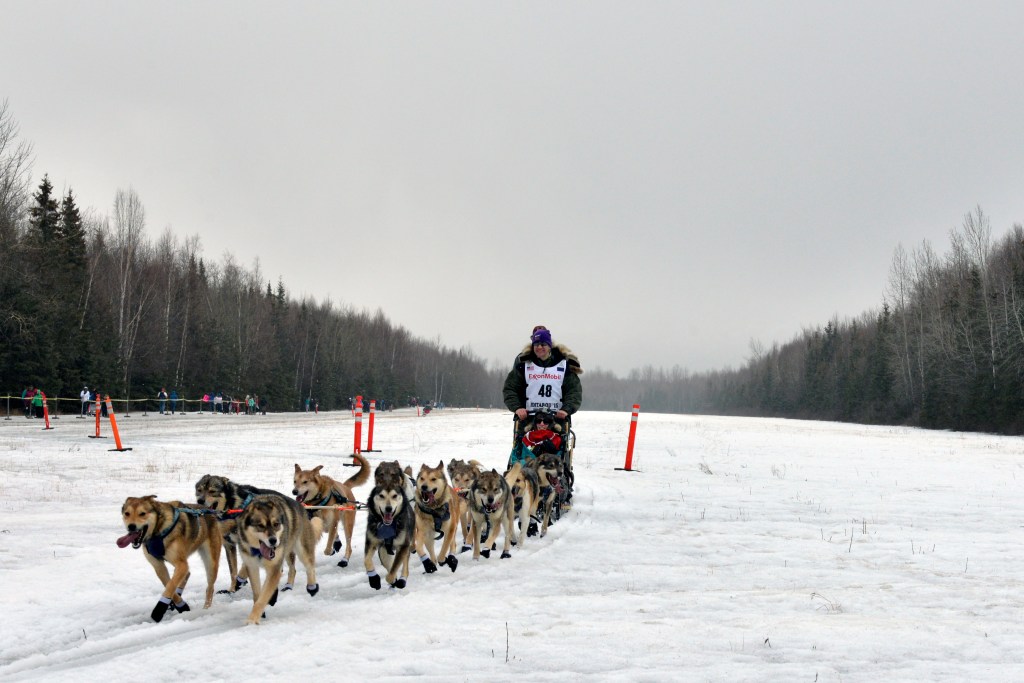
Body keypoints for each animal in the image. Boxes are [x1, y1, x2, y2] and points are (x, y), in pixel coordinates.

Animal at [117, 493, 222, 622]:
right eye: (127, 513)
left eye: (142, 513)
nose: (131, 526)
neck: (157, 532)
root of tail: (210, 510)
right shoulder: (159, 566)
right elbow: (168, 584)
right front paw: (181, 605)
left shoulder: (181, 564)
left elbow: (170, 585)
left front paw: (159, 608)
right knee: (187, 574)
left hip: (210, 563)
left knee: (210, 588)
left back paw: (206, 609)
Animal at [236, 497, 323, 626]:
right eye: (260, 526)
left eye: (276, 524)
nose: (273, 540)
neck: (259, 553)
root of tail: (300, 506)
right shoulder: (251, 566)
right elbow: (257, 594)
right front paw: (259, 613)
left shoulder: (274, 569)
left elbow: (262, 598)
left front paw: (252, 619)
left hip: (302, 549)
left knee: (310, 567)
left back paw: (312, 587)